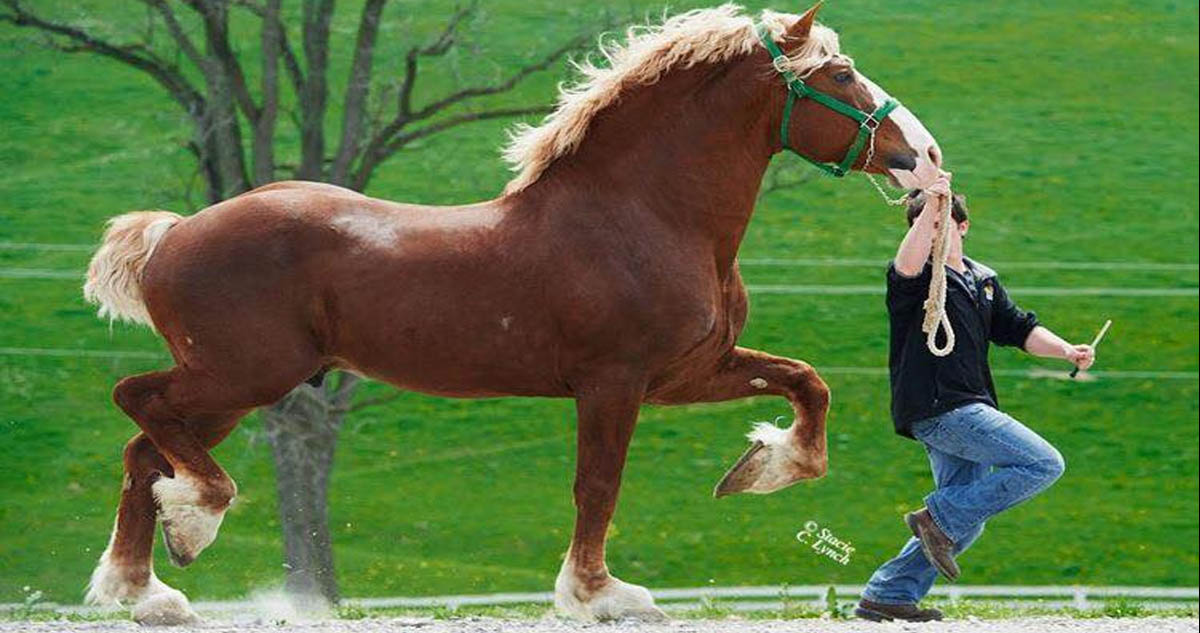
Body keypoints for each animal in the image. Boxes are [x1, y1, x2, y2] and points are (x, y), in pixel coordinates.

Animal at [87, 4, 945, 623]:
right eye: (841, 73)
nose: (926, 157)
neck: (643, 214)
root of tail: (171, 233)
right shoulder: (613, 381)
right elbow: (597, 483)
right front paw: (600, 594)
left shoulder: (688, 373)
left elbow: (807, 383)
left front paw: (762, 467)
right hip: (242, 375)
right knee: (137, 405)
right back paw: (193, 520)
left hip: (235, 385)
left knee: (142, 449)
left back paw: (147, 592)